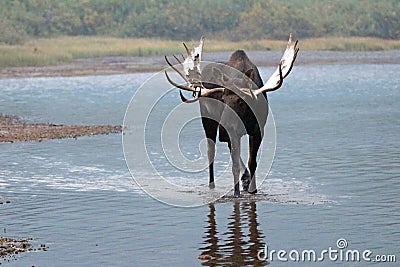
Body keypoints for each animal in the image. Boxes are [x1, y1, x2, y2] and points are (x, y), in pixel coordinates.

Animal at [164, 34, 298, 198]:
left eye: (241, 100)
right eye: (223, 99)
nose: (223, 127)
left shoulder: (258, 130)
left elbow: (252, 162)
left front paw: (252, 189)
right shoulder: (233, 132)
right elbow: (234, 164)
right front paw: (236, 193)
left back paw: (245, 179)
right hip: (208, 119)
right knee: (211, 151)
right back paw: (212, 184)